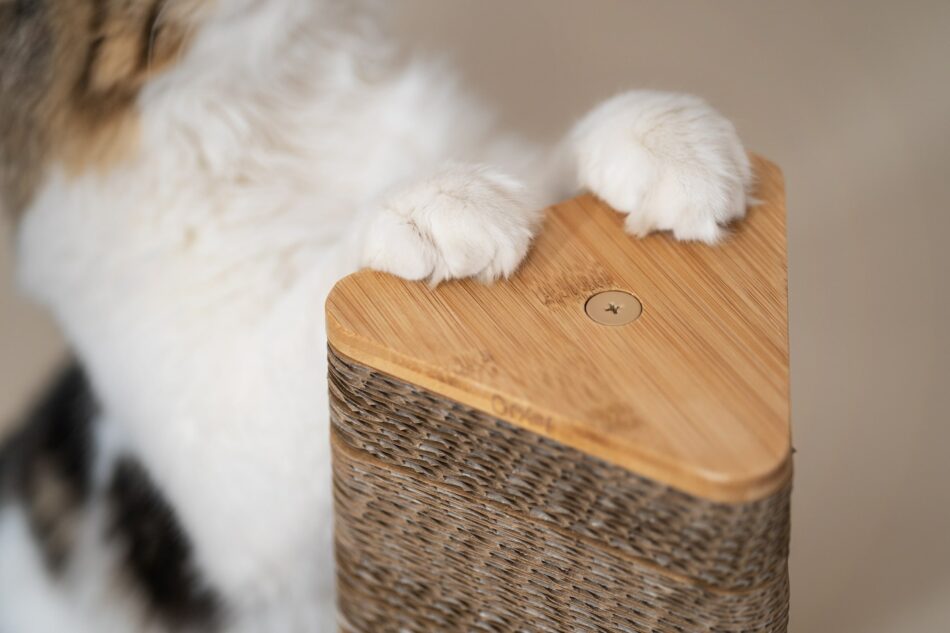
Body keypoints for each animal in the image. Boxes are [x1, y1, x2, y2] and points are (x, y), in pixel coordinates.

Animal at [1, 1, 760, 632]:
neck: (292, 100)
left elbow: (538, 161)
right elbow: (324, 284)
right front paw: (432, 201)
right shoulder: (228, 477)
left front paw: (660, 135)